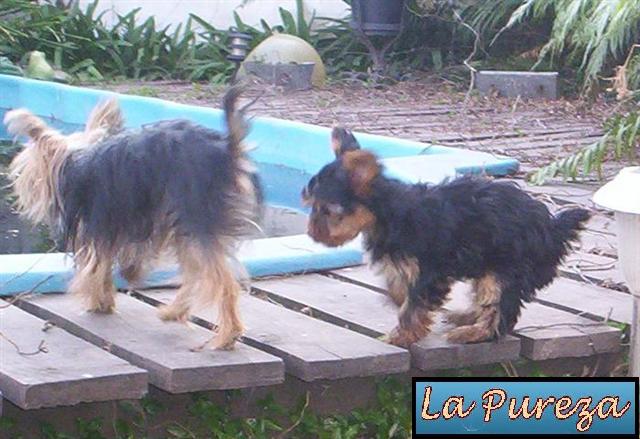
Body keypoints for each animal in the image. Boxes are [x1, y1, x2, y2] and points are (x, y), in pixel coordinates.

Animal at [4, 86, 262, 350]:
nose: (17, 183)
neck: (77, 162)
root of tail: (228, 149)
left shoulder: (97, 228)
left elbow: (95, 268)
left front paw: (98, 301)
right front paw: (109, 295)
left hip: (196, 218)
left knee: (223, 282)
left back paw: (227, 335)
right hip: (186, 223)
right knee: (197, 273)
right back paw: (173, 312)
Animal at [302, 127, 591, 348]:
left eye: (328, 211)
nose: (313, 234)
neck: (389, 213)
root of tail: (552, 228)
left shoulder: (428, 270)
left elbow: (415, 303)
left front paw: (401, 335)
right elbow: (402, 290)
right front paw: (398, 299)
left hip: (509, 268)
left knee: (501, 310)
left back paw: (473, 332)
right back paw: (467, 317)